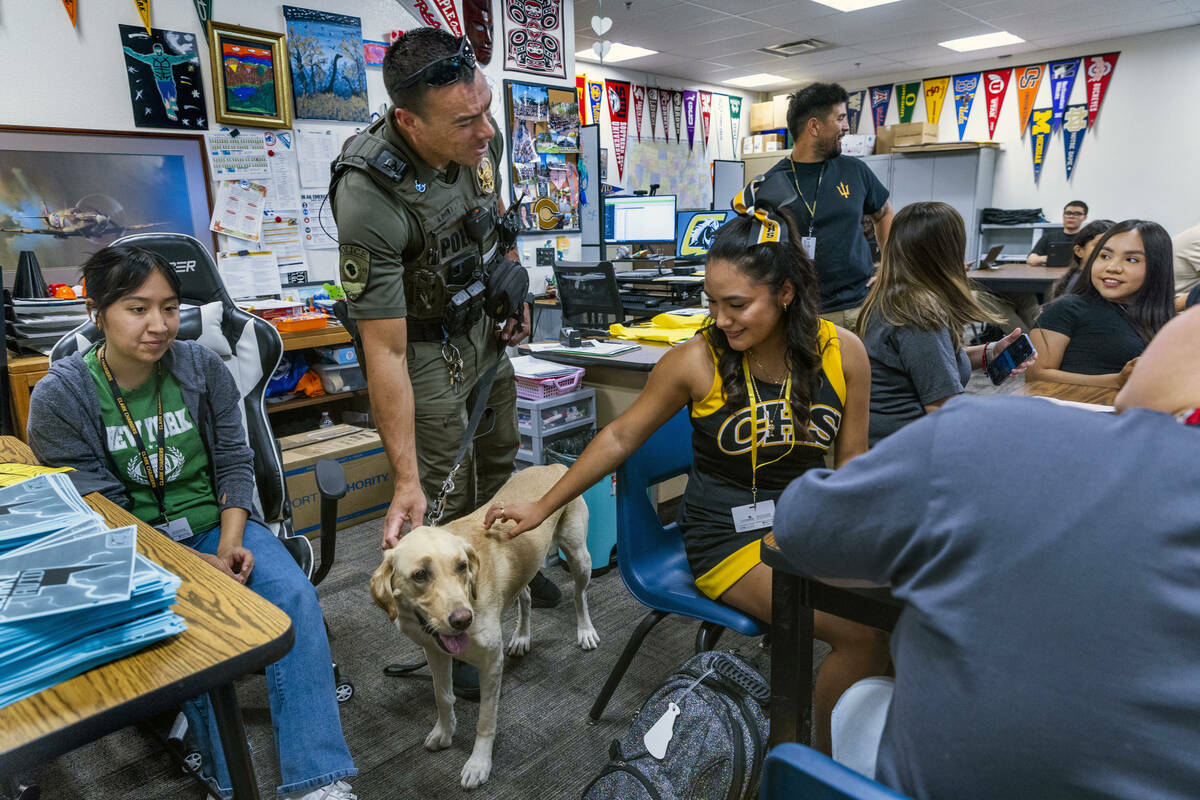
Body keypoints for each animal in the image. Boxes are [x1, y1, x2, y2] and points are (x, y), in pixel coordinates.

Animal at [367, 462, 597, 786]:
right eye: (420, 575)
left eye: (462, 567)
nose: (463, 620)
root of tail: (554, 464)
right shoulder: (434, 652)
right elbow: (443, 696)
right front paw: (444, 732)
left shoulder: (491, 664)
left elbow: (486, 720)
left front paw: (479, 763)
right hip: (525, 569)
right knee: (526, 597)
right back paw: (521, 637)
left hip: (579, 557)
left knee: (580, 595)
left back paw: (585, 631)